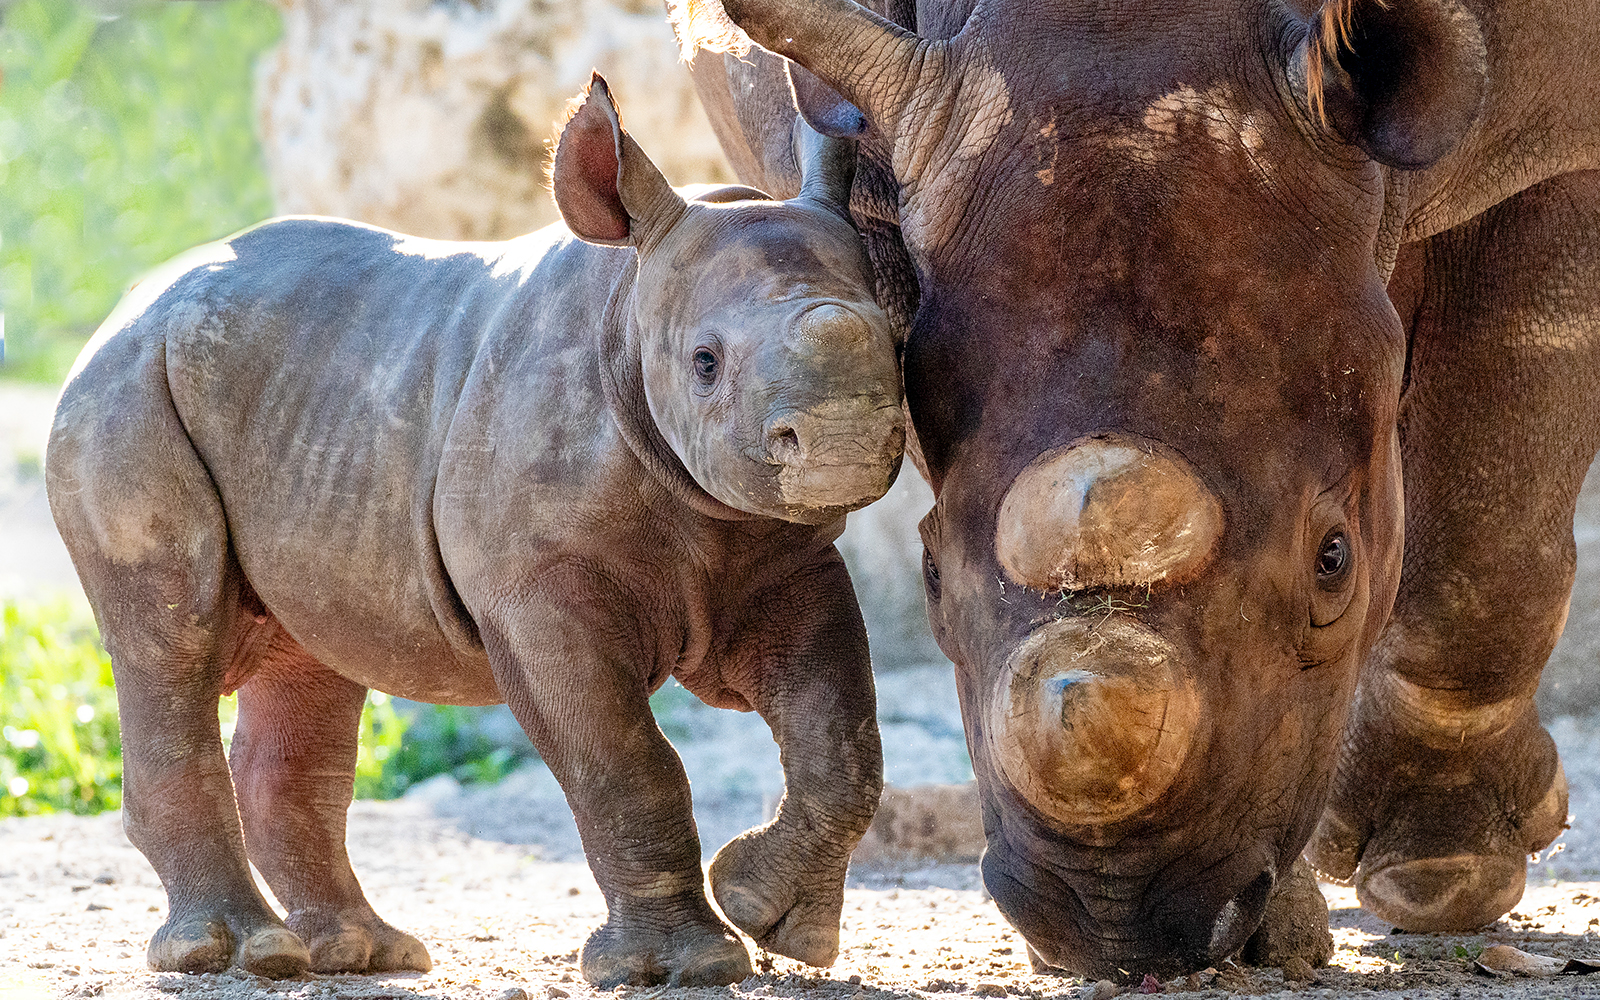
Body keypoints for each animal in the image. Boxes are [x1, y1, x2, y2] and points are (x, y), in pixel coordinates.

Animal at [45, 76, 904, 987]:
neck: (628, 308)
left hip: (300, 408)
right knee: (172, 639)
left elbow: (842, 740)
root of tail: (129, 303)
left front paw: (773, 919)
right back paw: (243, 953)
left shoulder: (785, 557)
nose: (844, 440)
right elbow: (624, 761)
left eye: (900, 340)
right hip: (125, 393)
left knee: (308, 655)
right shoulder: (536, 588)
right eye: (704, 363)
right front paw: (686, 966)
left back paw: (361, 953)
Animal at [673, 0, 1598, 980]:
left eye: (1334, 563)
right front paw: (1274, 932)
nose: (1116, 922)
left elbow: (1493, 511)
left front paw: (1438, 873)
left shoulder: (1559, 156)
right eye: (926, 573)